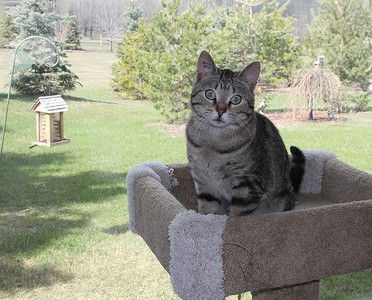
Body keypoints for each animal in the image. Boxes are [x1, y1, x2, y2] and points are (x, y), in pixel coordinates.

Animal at [186, 51, 306, 216]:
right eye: (210, 94)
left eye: (236, 99)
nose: (220, 111)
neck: (213, 142)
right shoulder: (204, 185)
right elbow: (207, 212)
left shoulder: (247, 187)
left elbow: (237, 216)